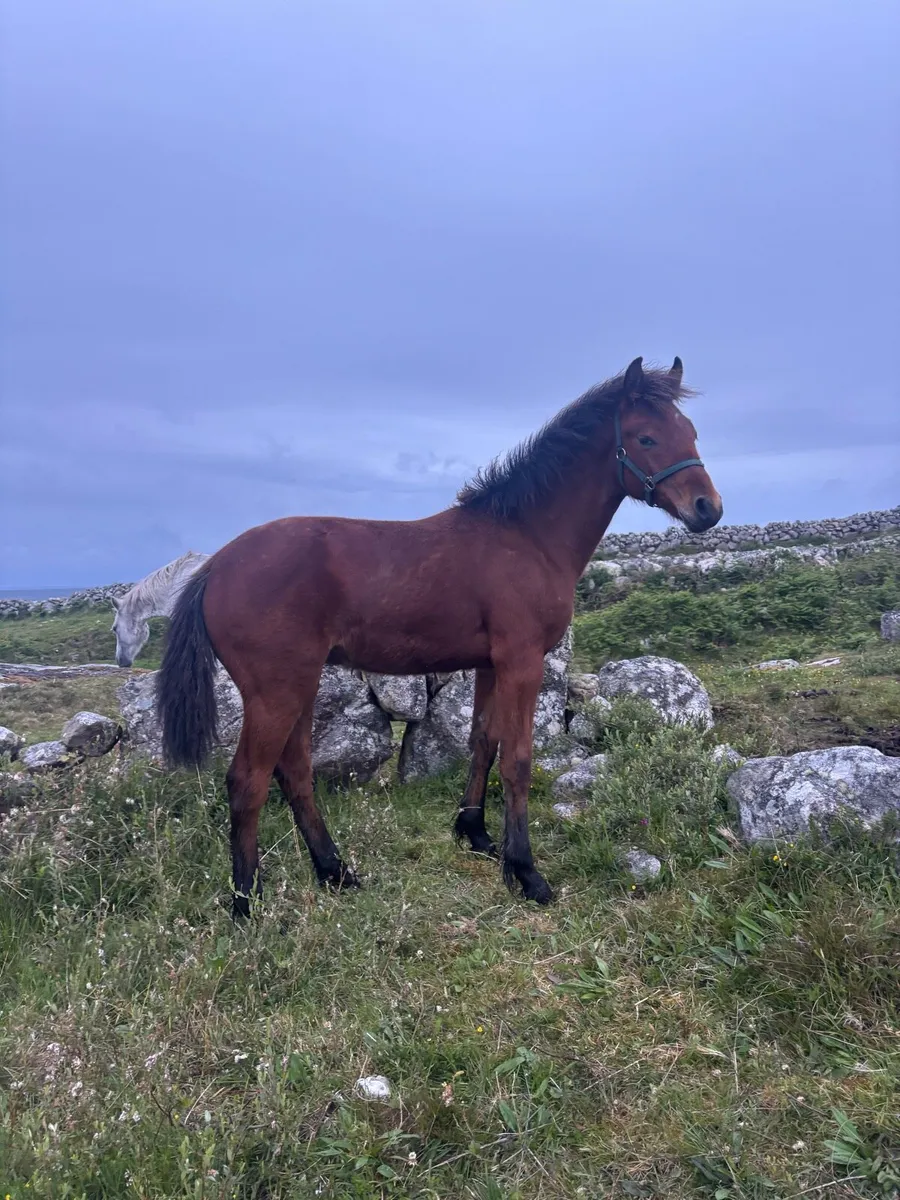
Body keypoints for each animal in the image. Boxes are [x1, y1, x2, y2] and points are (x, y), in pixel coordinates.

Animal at [157, 357, 722, 917]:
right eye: (647, 438)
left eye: (692, 432)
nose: (708, 508)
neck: (526, 537)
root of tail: (215, 567)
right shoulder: (522, 662)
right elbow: (517, 760)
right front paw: (527, 873)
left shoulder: (492, 664)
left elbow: (484, 742)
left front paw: (476, 833)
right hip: (276, 691)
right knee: (247, 782)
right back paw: (246, 901)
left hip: (300, 685)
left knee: (293, 772)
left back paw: (336, 872)